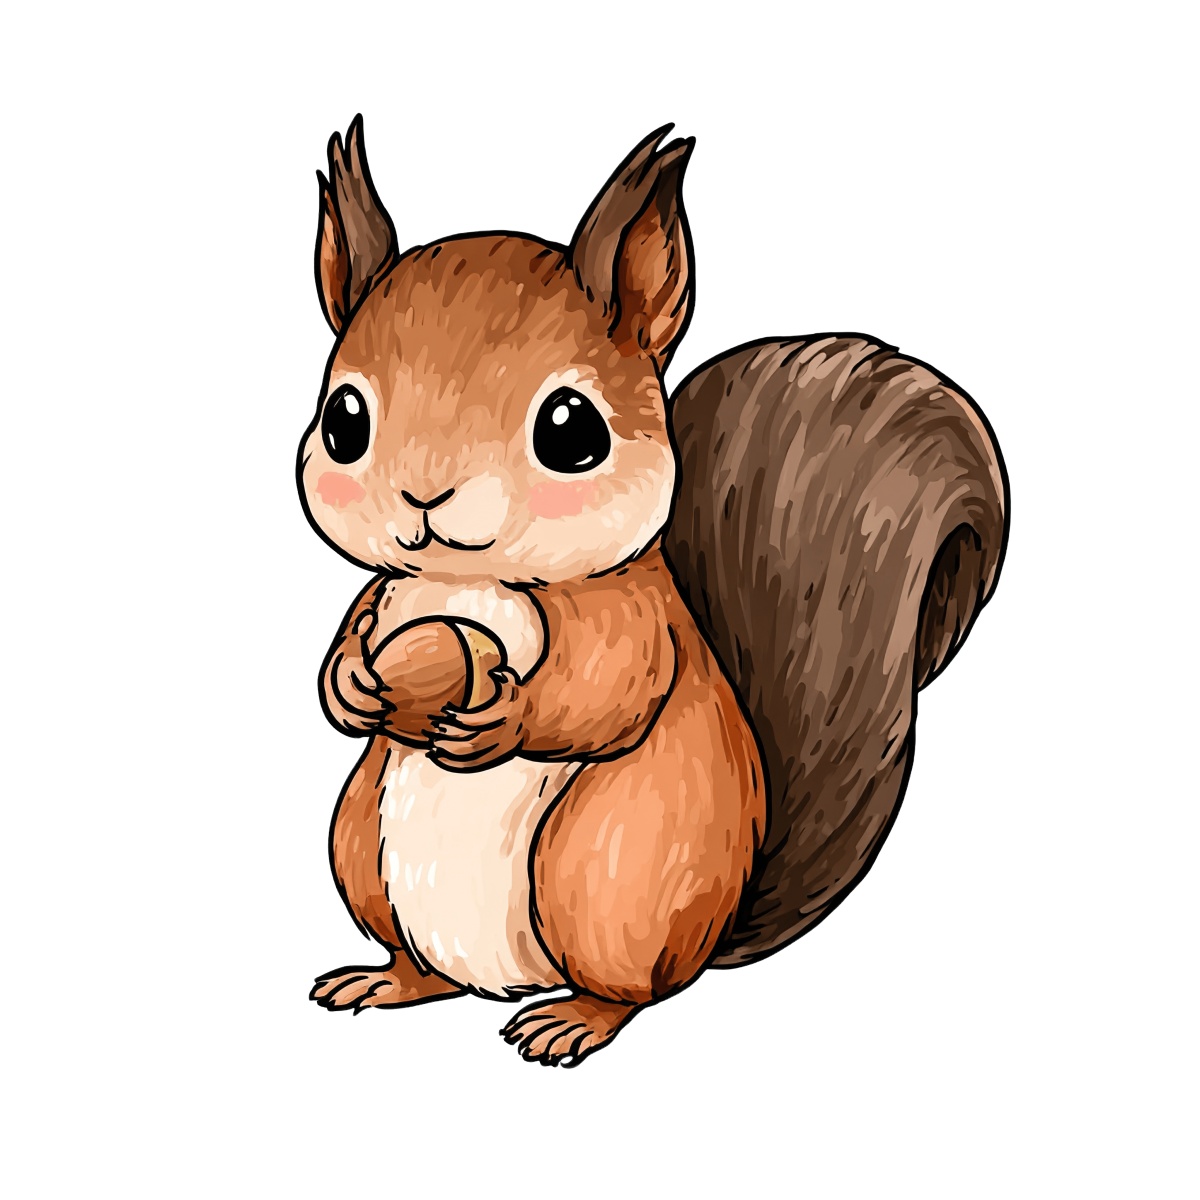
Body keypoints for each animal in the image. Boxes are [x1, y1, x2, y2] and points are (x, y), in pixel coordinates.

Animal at [297, 117, 1009, 1066]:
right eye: (344, 420)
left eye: (571, 432)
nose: (424, 495)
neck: (470, 582)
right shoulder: (387, 594)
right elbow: (352, 631)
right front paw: (348, 684)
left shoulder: (634, 619)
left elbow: (609, 690)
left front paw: (504, 717)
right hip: (360, 851)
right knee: (426, 969)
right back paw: (384, 980)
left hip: (604, 881)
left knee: (632, 991)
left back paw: (571, 1020)